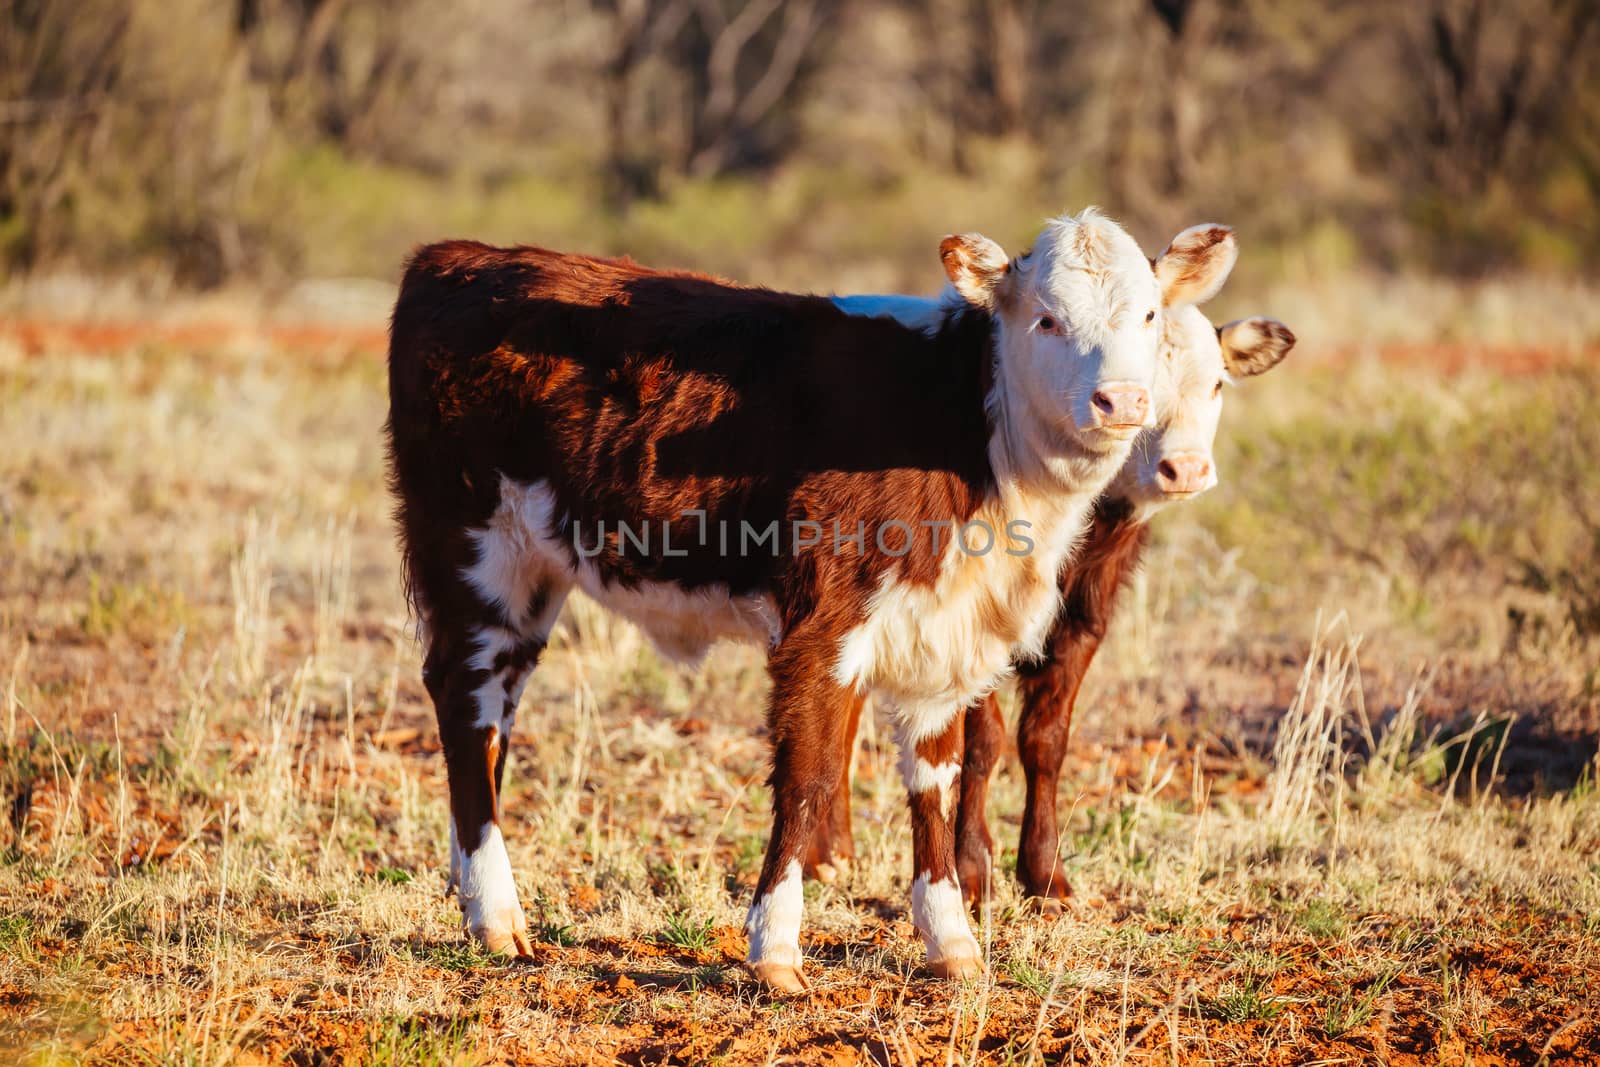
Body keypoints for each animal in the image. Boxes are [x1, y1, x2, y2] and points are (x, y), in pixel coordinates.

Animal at [387, 211, 1235, 991]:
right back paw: (496, 913)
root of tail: (462, 256)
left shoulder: (944, 631)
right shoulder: (819, 625)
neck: (965, 422)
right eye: (1047, 317)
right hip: (475, 546)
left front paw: (951, 938)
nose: (1121, 400)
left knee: (494, 715)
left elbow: (936, 779)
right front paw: (776, 949)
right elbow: (810, 775)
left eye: (1149, 315)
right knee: (465, 702)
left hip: (533, 574)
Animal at [819, 267, 1292, 902]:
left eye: (1216, 384)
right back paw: (830, 853)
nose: (1186, 468)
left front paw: (1044, 871)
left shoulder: (1086, 618)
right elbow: (982, 742)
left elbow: (1045, 740)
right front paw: (971, 868)